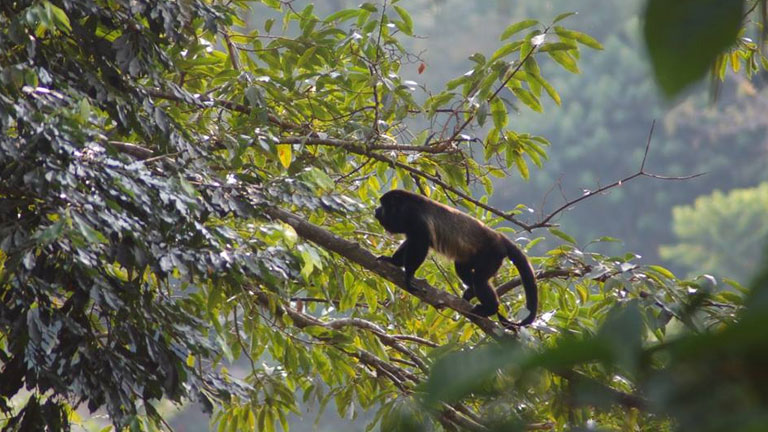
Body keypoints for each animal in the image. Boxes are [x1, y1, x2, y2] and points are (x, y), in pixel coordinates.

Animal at [376, 189, 536, 328]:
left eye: (383, 206)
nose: (376, 210)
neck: (405, 208)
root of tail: (500, 238)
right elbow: (410, 242)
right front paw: (393, 261)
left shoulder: (416, 219)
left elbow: (420, 244)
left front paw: (409, 276)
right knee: (462, 270)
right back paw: (471, 292)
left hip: (492, 255)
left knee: (480, 279)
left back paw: (491, 308)